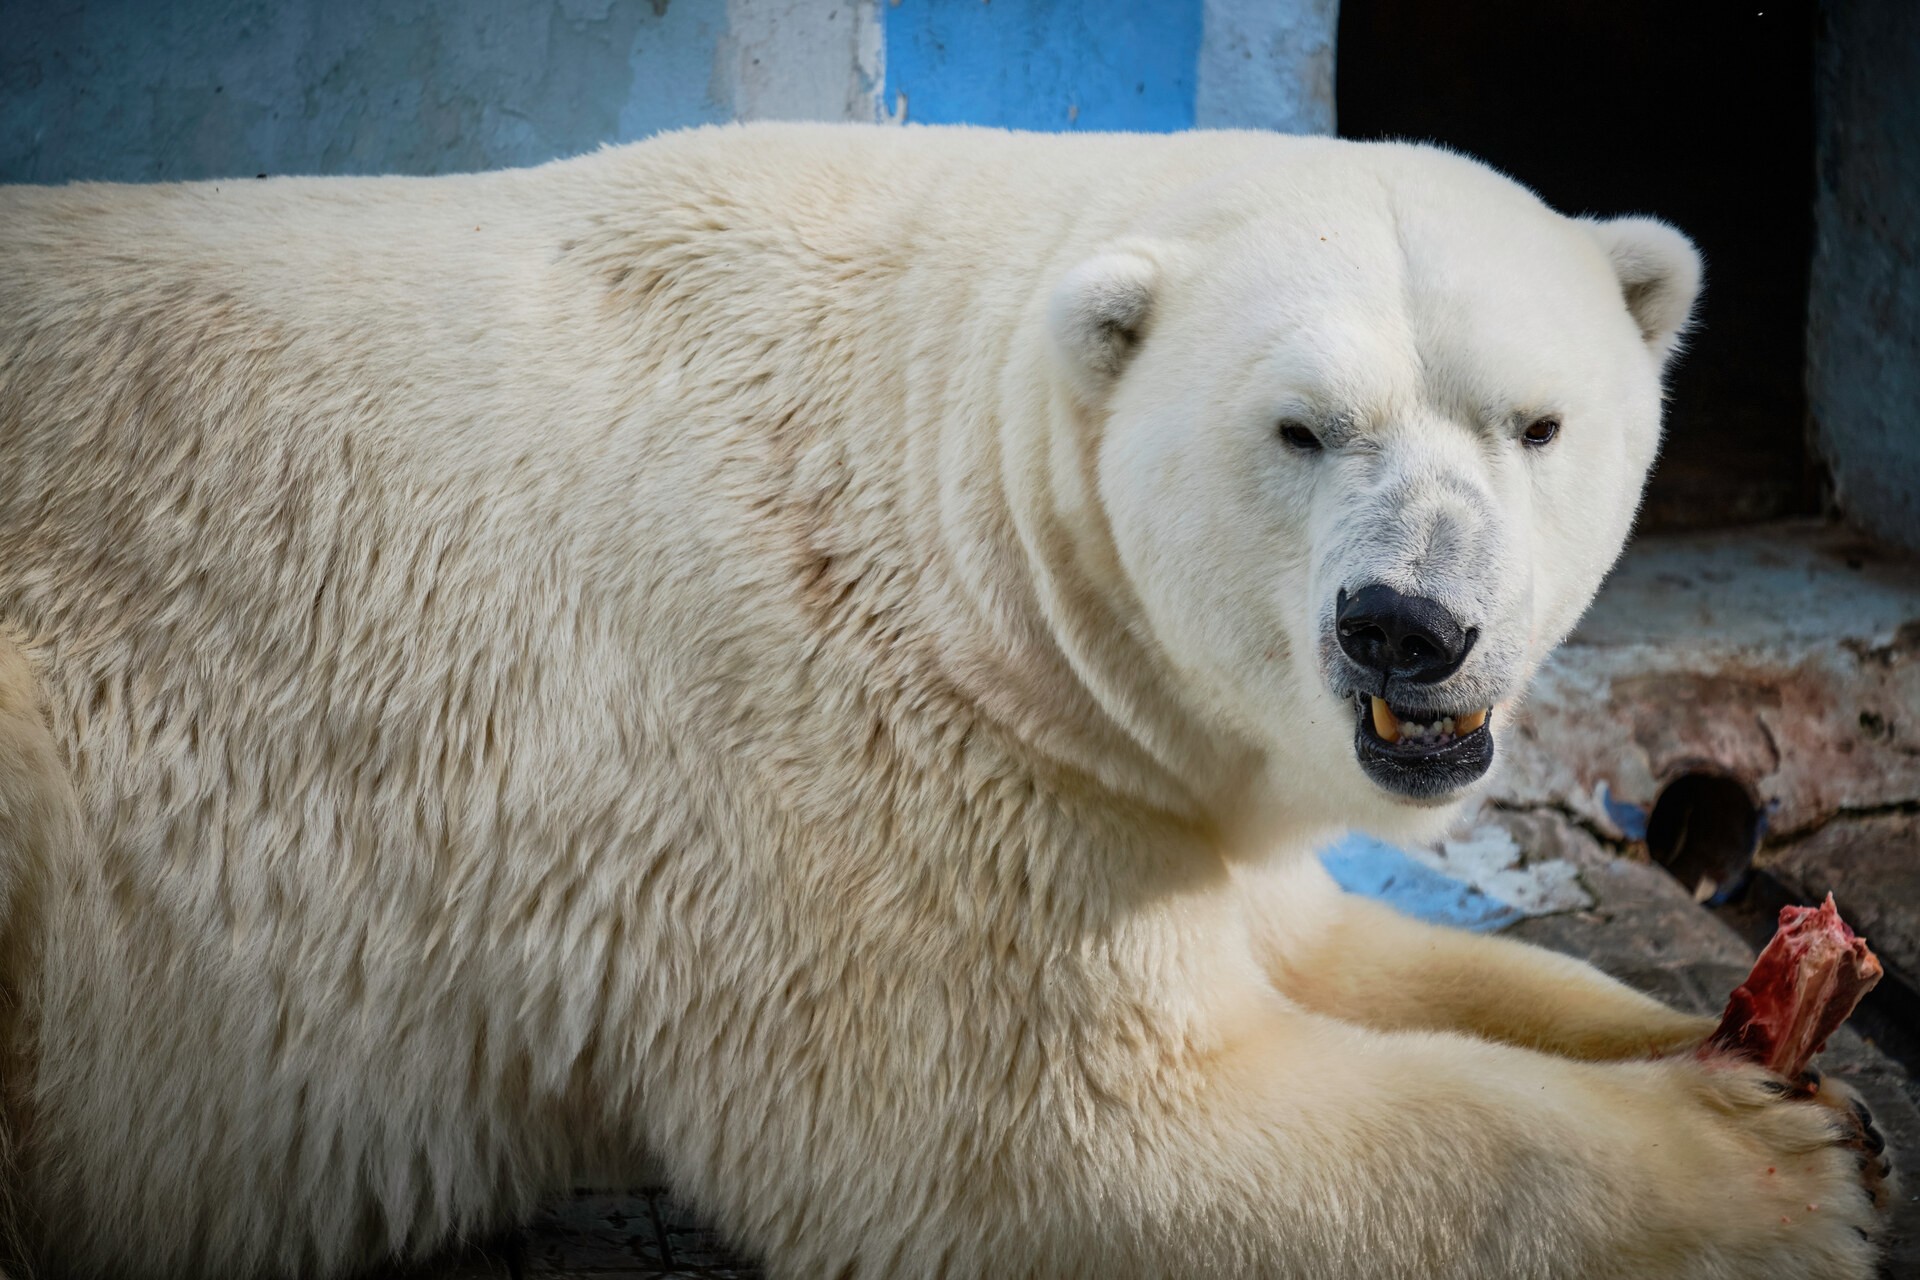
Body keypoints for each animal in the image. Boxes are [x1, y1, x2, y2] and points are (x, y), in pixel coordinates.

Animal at [0, 122, 1889, 1280]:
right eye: (1301, 429)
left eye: (1535, 422)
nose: (1404, 627)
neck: (947, 496)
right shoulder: (868, 762)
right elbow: (1075, 1146)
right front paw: (1759, 1169)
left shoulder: (1146, 765)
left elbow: (1338, 949)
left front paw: (1798, 1075)